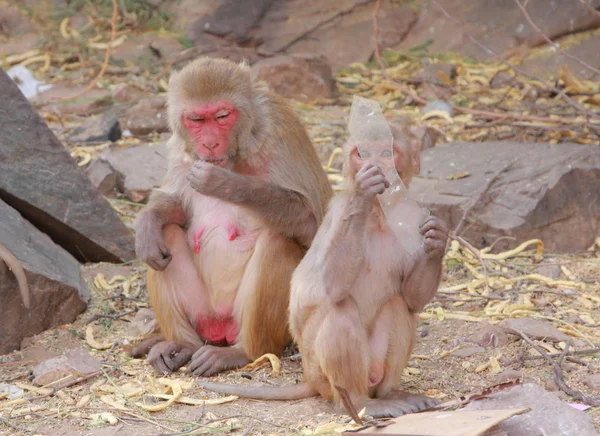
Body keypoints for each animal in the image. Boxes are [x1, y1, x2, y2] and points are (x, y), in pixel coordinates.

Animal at [132, 58, 332, 376]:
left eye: (222, 116)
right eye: (197, 120)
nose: (210, 144)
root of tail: (220, 328)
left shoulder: (281, 131)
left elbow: (313, 222)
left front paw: (223, 183)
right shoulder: (180, 147)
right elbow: (176, 211)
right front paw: (148, 222)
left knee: (276, 241)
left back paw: (241, 352)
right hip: (203, 311)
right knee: (167, 236)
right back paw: (182, 345)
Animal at [199, 122, 448, 418]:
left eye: (388, 152)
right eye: (361, 153)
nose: (374, 165)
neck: (379, 216)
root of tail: (308, 377)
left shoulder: (411, 223)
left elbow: (413, 298)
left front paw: (437, 241)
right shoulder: (337, 212)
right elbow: (332, 286)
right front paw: (363, 194)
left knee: (398, 305)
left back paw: (389, 394)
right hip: (319, 370)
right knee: (340, 308)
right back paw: (359, 402)